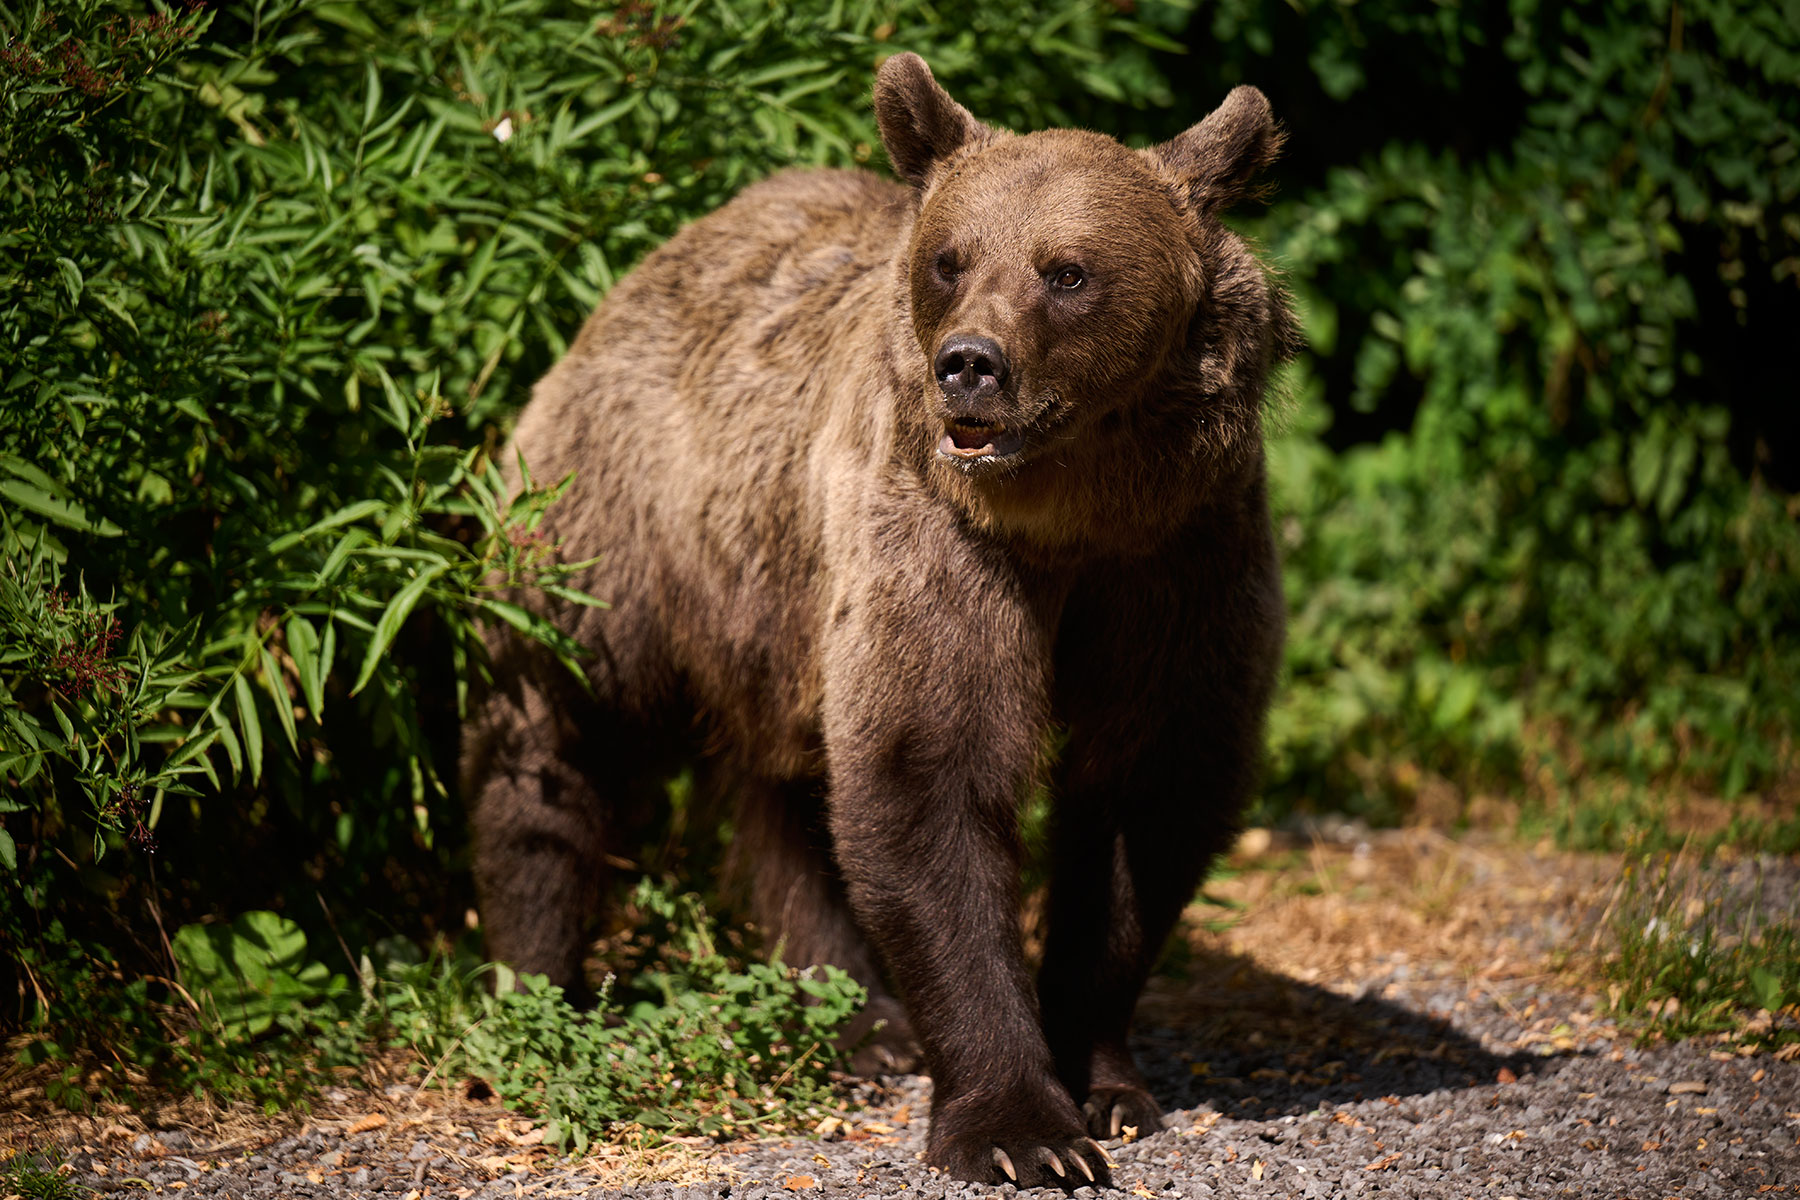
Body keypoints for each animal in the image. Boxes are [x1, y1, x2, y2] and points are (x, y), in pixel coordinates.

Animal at [464, 53, 1296, 1194]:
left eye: (1067, 271)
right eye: (951, 259)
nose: (971, 362)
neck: (1074, 509)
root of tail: (654, 261)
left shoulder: (1180, 554)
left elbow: (1147, 791)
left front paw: (1110, 1086)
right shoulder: (940, 539)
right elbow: (930, 776)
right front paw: (1021, 1128)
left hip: (775, 601)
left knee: (791, 796)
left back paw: (859, 1020)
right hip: (613, 526)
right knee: (559, 727)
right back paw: (538, 977)